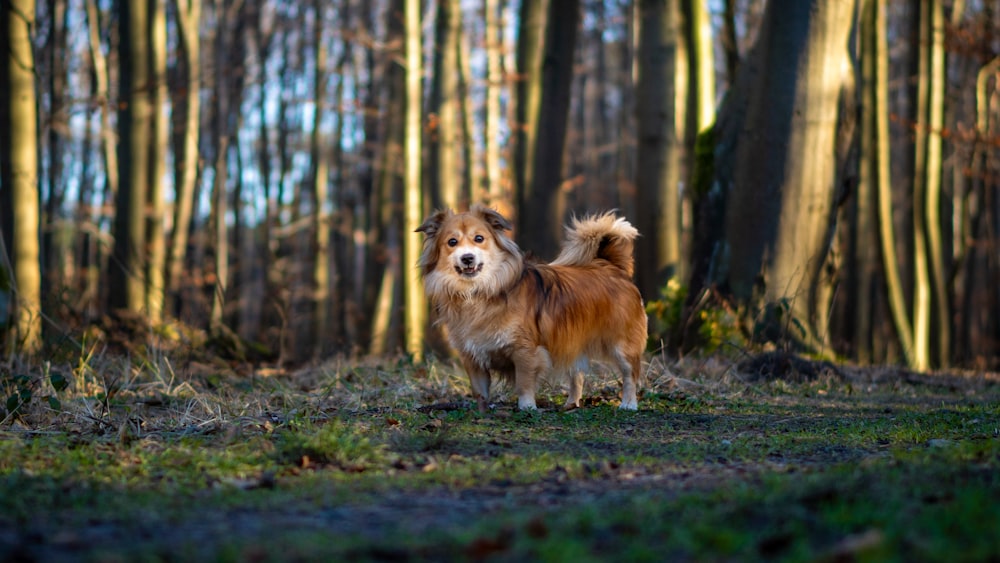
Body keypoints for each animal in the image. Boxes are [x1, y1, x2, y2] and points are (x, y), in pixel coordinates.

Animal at [414, 205, 648, 412]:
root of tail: (612, 266)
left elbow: (524, 383)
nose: (467, 258)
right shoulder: (472, 356)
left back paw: (628, 404)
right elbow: (479, 390)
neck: (479, 290)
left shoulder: (525, 350)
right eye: (452, 242)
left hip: (622, 344)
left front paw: (527, 407)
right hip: (572, 340)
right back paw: (571, 404)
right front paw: (482, 412)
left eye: (479, 239)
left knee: (630, 373)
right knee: (577, 375)